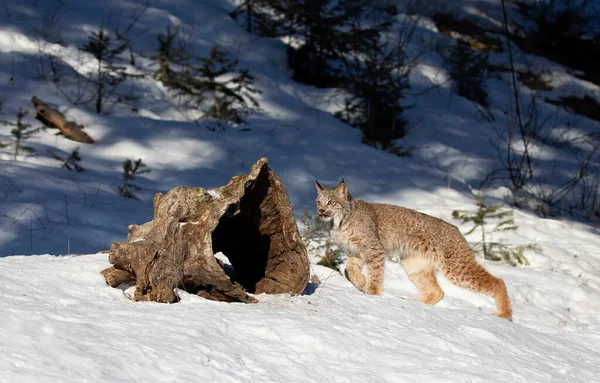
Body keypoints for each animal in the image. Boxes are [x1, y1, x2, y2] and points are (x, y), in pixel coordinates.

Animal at [314, 180, 510, 320]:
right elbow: (349, 271)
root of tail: (456, 230)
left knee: (498, 281)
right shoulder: (355, 252)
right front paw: (362, 283)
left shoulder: (374, 249)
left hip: (454, 266)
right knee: (438, 291)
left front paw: (372, 293)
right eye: (318, 202)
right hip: (414, 265)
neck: (339, 222)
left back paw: (504, 315)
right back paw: (410, 302)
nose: (321, 211)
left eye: (330, 202)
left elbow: (375, 275)